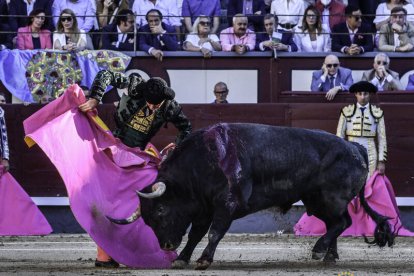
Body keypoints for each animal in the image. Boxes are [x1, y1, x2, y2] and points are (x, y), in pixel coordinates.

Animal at [108, 123, 392, 270]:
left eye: (160, 210)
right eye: (146, 220)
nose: (166, 246)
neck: (203, 160)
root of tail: (354, 147)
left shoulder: (226, 204)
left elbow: (214, 233)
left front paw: (203, 259)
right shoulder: (204, 208)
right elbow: (196, 233)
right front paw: (182, 258)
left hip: (329, 199)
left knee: (341, 222)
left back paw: (319, 250)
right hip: (318, 201)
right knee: (337, 223)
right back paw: (329, 256)